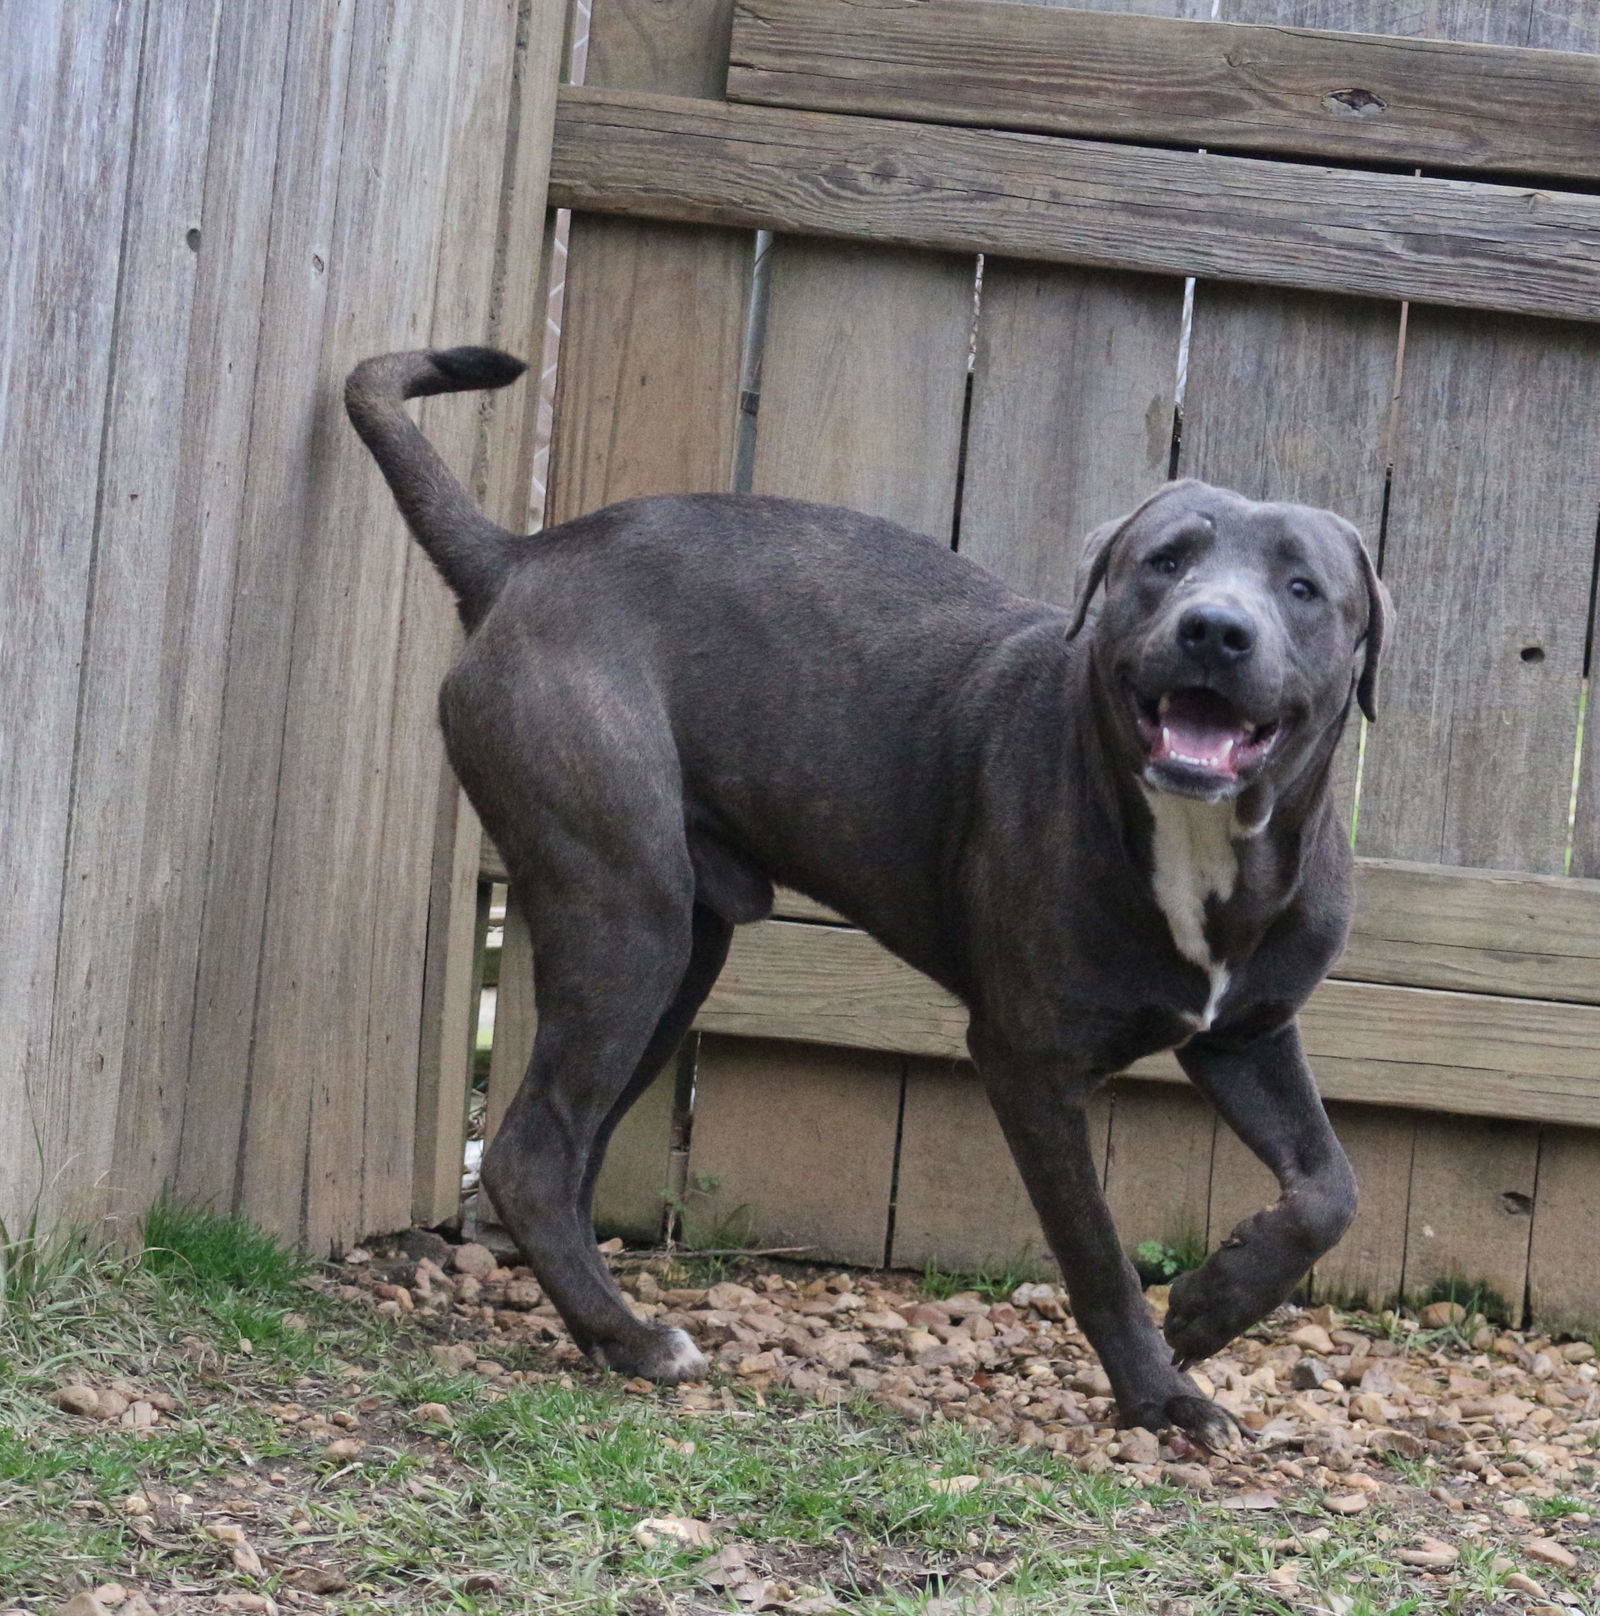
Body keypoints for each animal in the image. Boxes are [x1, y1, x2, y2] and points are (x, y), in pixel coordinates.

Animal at [347, 344, 1389, 1454]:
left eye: (1303, 586)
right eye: (1163, 561)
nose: (1214, 629)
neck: (1194, 842)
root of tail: (519, 557)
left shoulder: (1246, 1035)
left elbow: (1331, 1187)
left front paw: (1211, 1304)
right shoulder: (1030, 1066)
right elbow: (1099, 1252)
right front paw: (1161, 1394)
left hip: (679, 958)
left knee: (565, 1147)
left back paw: (600, 1324)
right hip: (626, 918)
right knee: (534, 1154)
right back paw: (632, 1340)